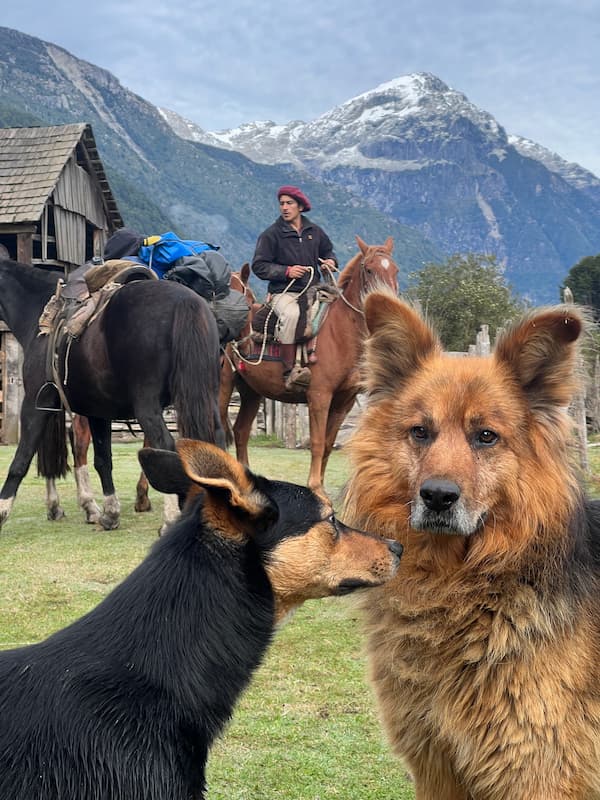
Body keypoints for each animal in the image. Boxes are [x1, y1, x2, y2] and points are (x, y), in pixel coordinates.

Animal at [220, 234, 398, 490]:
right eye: (369, 269)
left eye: (395, 269)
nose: (388, 300)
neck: (340, 332)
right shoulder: (319, 396)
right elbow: (316, 442)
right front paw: (314, 486)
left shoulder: (344, 402)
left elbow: (328, 444)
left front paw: (320, 487)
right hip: (223, 386)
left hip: (251, 391)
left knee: (241, 430)